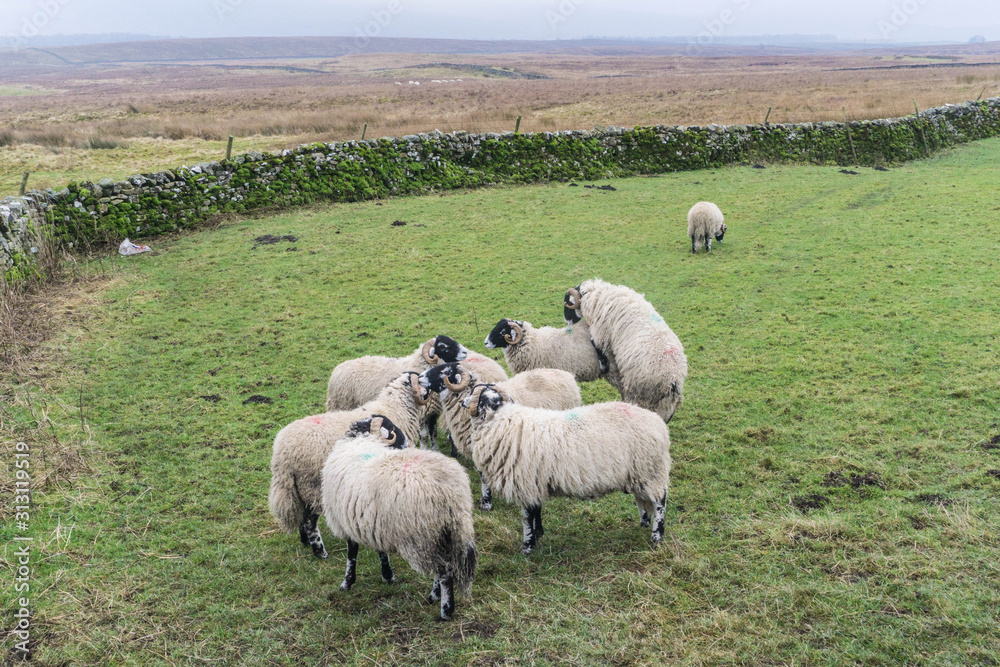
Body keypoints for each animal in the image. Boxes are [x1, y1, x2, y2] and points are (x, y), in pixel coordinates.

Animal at [269, 372, 429, 559]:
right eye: (421, 380)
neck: (396, 407)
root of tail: (282, 454)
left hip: (298, 487)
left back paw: (305, 542)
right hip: (312, 485)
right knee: (310, 520)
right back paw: (320, 552)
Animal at [322, 415, 477, 620]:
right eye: (394, 430)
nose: (408, 445)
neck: (360, 440)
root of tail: (449, 490)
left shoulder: (346, 522)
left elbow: (351, 554)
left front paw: (347, 583)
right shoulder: (373, 521)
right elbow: (381, 552)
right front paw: (387, 576)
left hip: (423, 534)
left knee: (444, 571)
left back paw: (445, 610)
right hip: (446, 530)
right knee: (443, 567)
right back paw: (434, 596)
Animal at [325, 335, 469, 448]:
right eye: (443, 347)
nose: (465, 352)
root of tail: (336, 370)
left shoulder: (432, 412)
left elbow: (433, 434)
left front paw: (435, 450)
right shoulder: (421, 413)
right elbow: (424, 436)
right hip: (341, 405)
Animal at [461, 384, 671, 554]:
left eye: (477, 396)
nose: (463, 402)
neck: (500, 420)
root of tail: (658, 423)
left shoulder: (526, 482)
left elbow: (527, 517)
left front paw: (527, 546)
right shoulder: (536, 481)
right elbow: (536, 510)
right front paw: (538, 534)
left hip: (651, 471)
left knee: (660, 502)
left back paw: (656, 536)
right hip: (638, 475)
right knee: (643, 500)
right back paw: (644, 522)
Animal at [564, 278, 687, 423]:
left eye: (567, 304)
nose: (567, 324)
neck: (595, 293)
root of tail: (672, 380)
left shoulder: (601, 332)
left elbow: (597, 345)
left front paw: (603, 365)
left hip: (639, 392)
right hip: (666, 403)